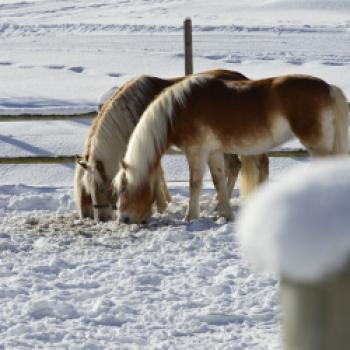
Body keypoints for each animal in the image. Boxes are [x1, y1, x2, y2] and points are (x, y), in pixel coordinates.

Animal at [73, 69, 266, 221]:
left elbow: (156, 174)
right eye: (87, 189)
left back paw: (219, 204)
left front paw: (160, 206)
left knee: (234, 167)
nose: (99, 218)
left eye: (101, 188)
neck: (133, 114)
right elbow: (159, 174)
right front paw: (165, 202)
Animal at [115, 74, 348, 224]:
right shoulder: (214, 152)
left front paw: (190, 217)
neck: (177, 110)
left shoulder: (196, 152)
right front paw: (225, 213)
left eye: (124, 189)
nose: (123, 219)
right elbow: (218, 181)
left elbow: (195, 184)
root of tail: (328, 87)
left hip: (316, 146)